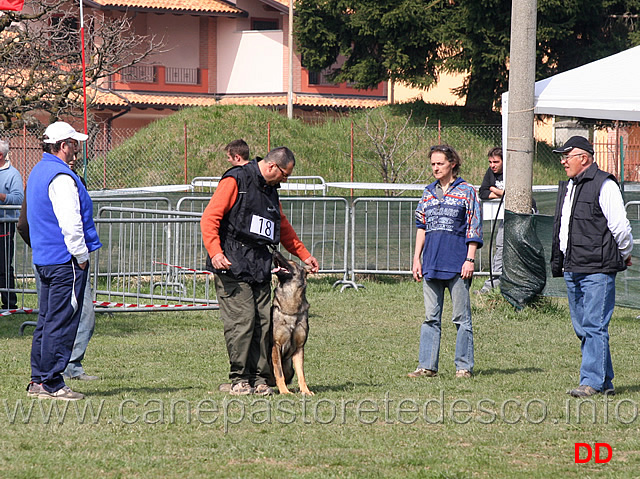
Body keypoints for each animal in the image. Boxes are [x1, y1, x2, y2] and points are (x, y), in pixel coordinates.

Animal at [270, 249, 312, 396]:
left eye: (291, 262)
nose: (274, 251)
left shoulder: (299, 348)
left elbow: (302, 374)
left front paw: (305, 391)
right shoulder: (275, 346)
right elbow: (279, 373)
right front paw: (284, 392)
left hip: (289, 367)